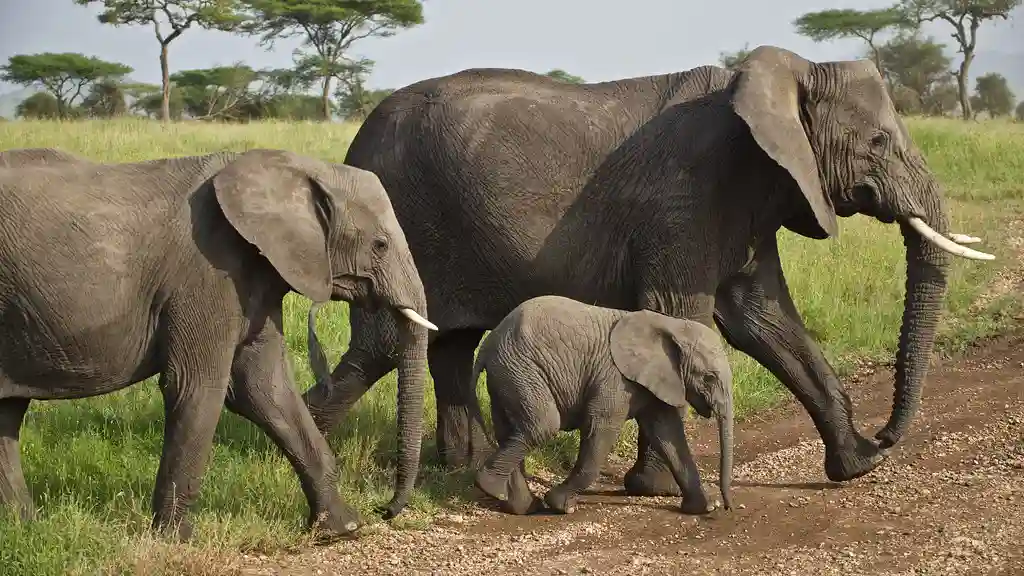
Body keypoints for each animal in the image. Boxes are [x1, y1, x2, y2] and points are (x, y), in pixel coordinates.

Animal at [0, 149, 436, 540]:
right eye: (380, 245)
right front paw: (175, 542)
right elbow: (200, 388)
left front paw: (342, 530)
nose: (385, 509)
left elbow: (266, 390)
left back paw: (25, 528)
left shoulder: (256, 278)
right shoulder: (207, 275)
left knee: (7, 416)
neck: (296, 167)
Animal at [466, 295, 733, 517]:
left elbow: (668, 434)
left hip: (508, 377)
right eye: (709, 378)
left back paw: (521, 505)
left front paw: (706, 507)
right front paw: (562, 506)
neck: (671, 326)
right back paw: (491, 487)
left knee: (512, 431)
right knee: (542, 426)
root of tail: (488, 344)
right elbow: (602, 428)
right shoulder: (614, 378)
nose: (728, 507)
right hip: (521, 371)